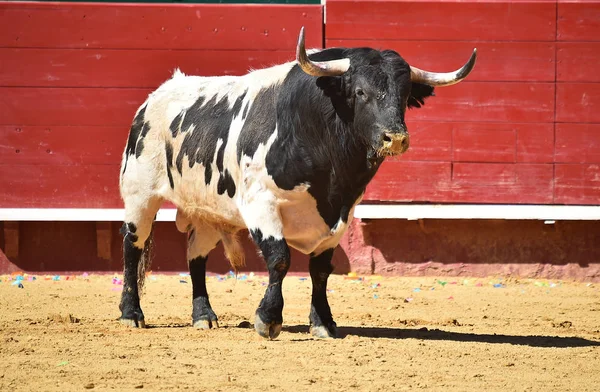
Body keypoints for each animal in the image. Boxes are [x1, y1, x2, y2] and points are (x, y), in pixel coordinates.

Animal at [118, 28, 478, 340]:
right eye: (360, 92)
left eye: (404, 95)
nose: (396, 138)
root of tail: (154, 98)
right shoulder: (260, 203)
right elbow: (280, 258)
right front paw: (268, 320)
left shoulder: (342, 214)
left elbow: (320, 270)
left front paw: (324, 323)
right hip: (140, 197)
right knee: (133, 247)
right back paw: (131, 314)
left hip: (207, 208)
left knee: (196, 255)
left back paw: (204, 315)